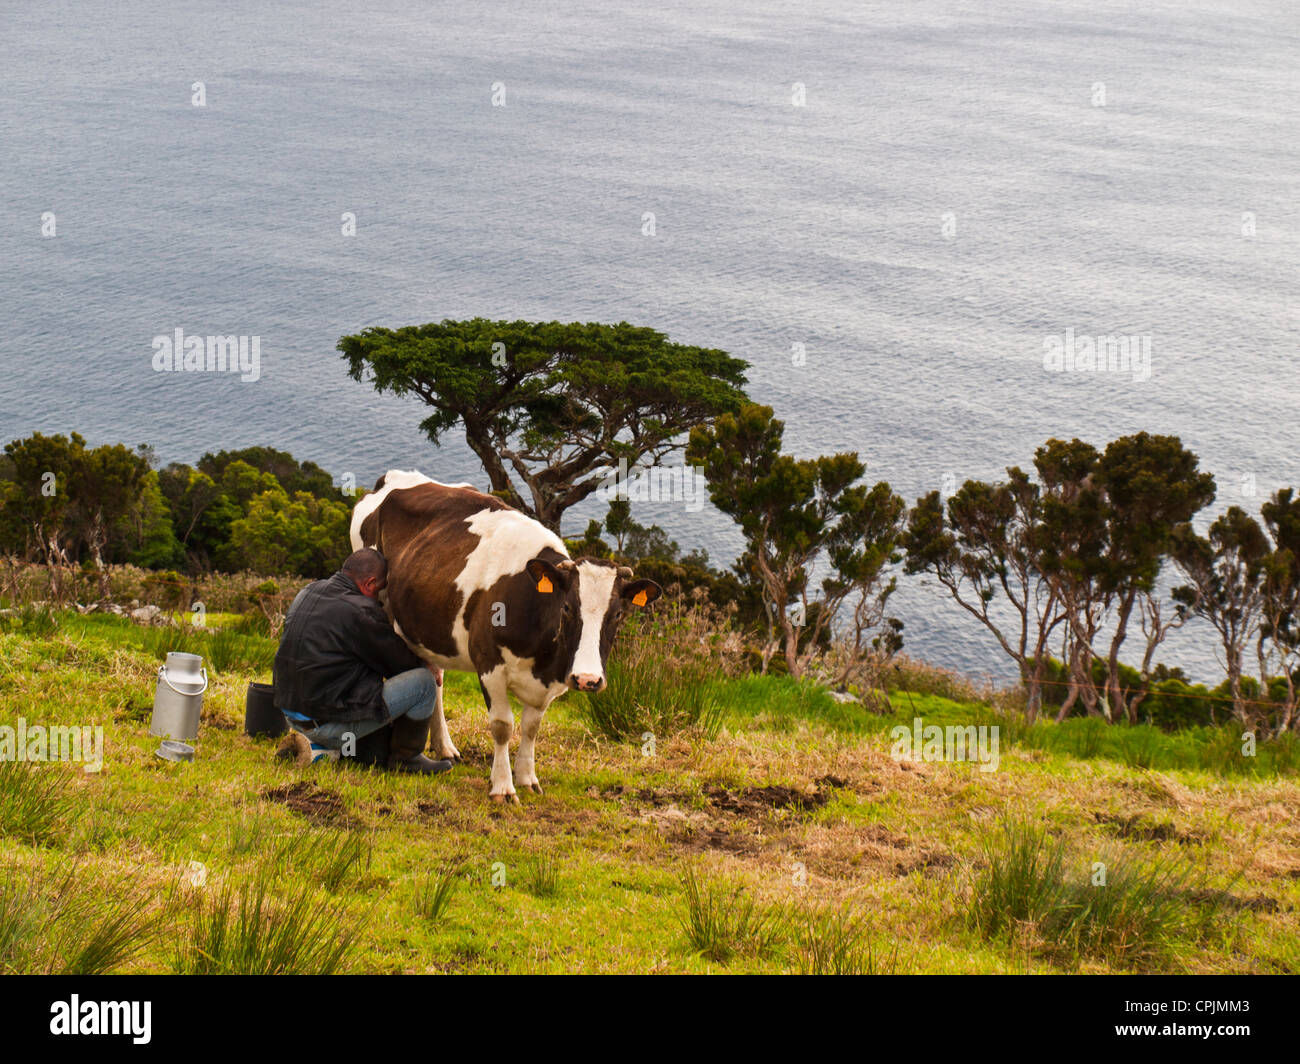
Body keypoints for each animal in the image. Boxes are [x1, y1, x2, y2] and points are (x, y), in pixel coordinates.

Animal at [348, 468, 660, 801]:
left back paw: (444, 747)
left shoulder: (548, 682)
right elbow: (502, 725)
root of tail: (398, 476)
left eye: (617, 614)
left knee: (435, 678)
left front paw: (527, 778)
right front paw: (502, 787)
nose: (587, 679)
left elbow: (531, 727)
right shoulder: (489, 664)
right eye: (566, 607)